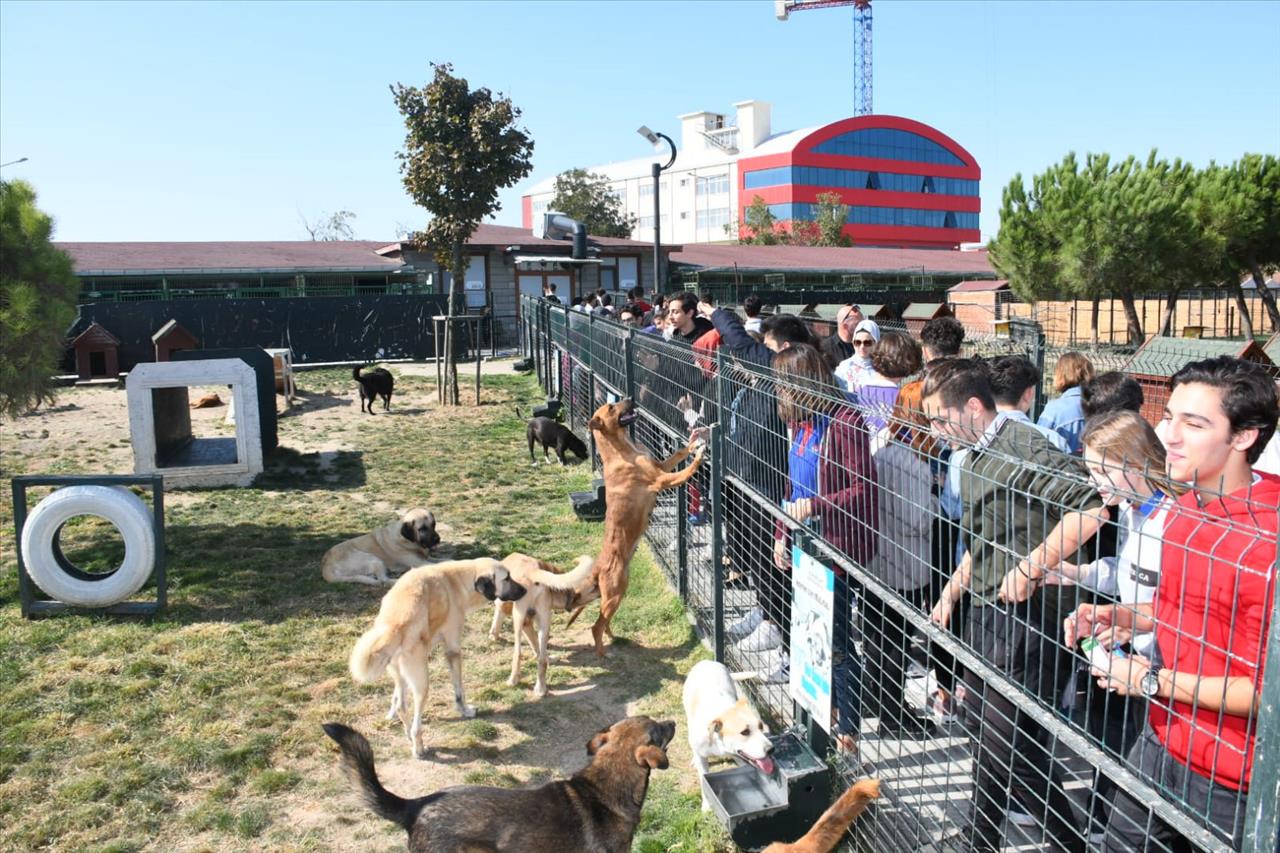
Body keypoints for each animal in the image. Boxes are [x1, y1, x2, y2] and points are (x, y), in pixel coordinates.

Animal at [348, 558, 527, 758]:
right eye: (507, 578)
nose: (525, 590)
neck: (460, 580)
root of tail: (395, 625)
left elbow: (394, 698)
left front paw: (391, 715)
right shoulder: (453, 650)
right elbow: (459, 690)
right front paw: (464, 710)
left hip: (401, 673)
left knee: (401, 705)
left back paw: (407, 733)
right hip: (422, 681)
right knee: (415, 721)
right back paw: (419, 748)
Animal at [488, 550, 599, 696]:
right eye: (594, 586)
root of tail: (532, 571)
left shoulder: (523, 622)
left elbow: (498, 616)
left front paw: (493, 635)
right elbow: (538, 648)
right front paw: (548, 657)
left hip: (518, 619)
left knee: (518, 654)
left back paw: (512, 681)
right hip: (545, 623)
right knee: (541, 661)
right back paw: (541, 688)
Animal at [686, 660, 773, 809]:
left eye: (761, 726)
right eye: (745, 732)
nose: (771, 749)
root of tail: (707, 661)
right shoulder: (702, 757)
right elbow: (703, 780)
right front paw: (707, 807)